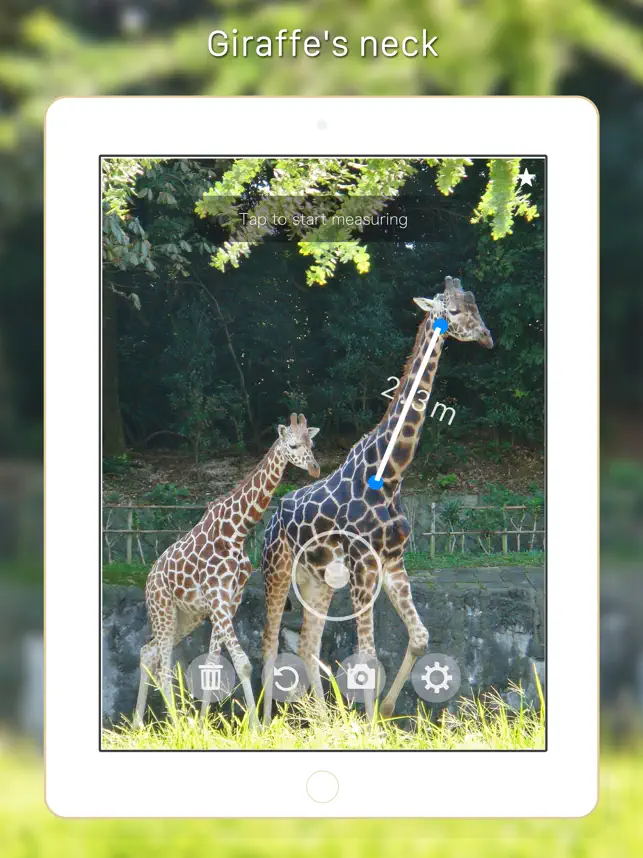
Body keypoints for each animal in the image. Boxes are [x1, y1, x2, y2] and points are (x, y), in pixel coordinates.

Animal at [133, 413, 320, 729]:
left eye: (312, 443)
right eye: (293, 445)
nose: (315, 468)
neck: (236, 531)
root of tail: (148, 579)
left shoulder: (229, 600)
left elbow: (212, 662)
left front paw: (203, 726)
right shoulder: (217, 599)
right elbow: (243, 663)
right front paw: (255, 729)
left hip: (186, 616)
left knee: (149, 652)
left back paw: (139, 724)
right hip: (163, 609)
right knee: (161, 662)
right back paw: (175, 725)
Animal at [261, 276, 493, 723]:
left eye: (477, 305)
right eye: (454, 311)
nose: (488, 337)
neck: (391, 474)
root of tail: (269, 523)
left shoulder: (392, 562)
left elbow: (419, 637)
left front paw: (383, 713)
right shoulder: (363, 563)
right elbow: (366, 656)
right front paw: (367, 725)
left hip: (317, 582)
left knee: (306, 644)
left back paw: (321, 722)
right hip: (276, 573)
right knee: (267, 647)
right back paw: (261, 726)